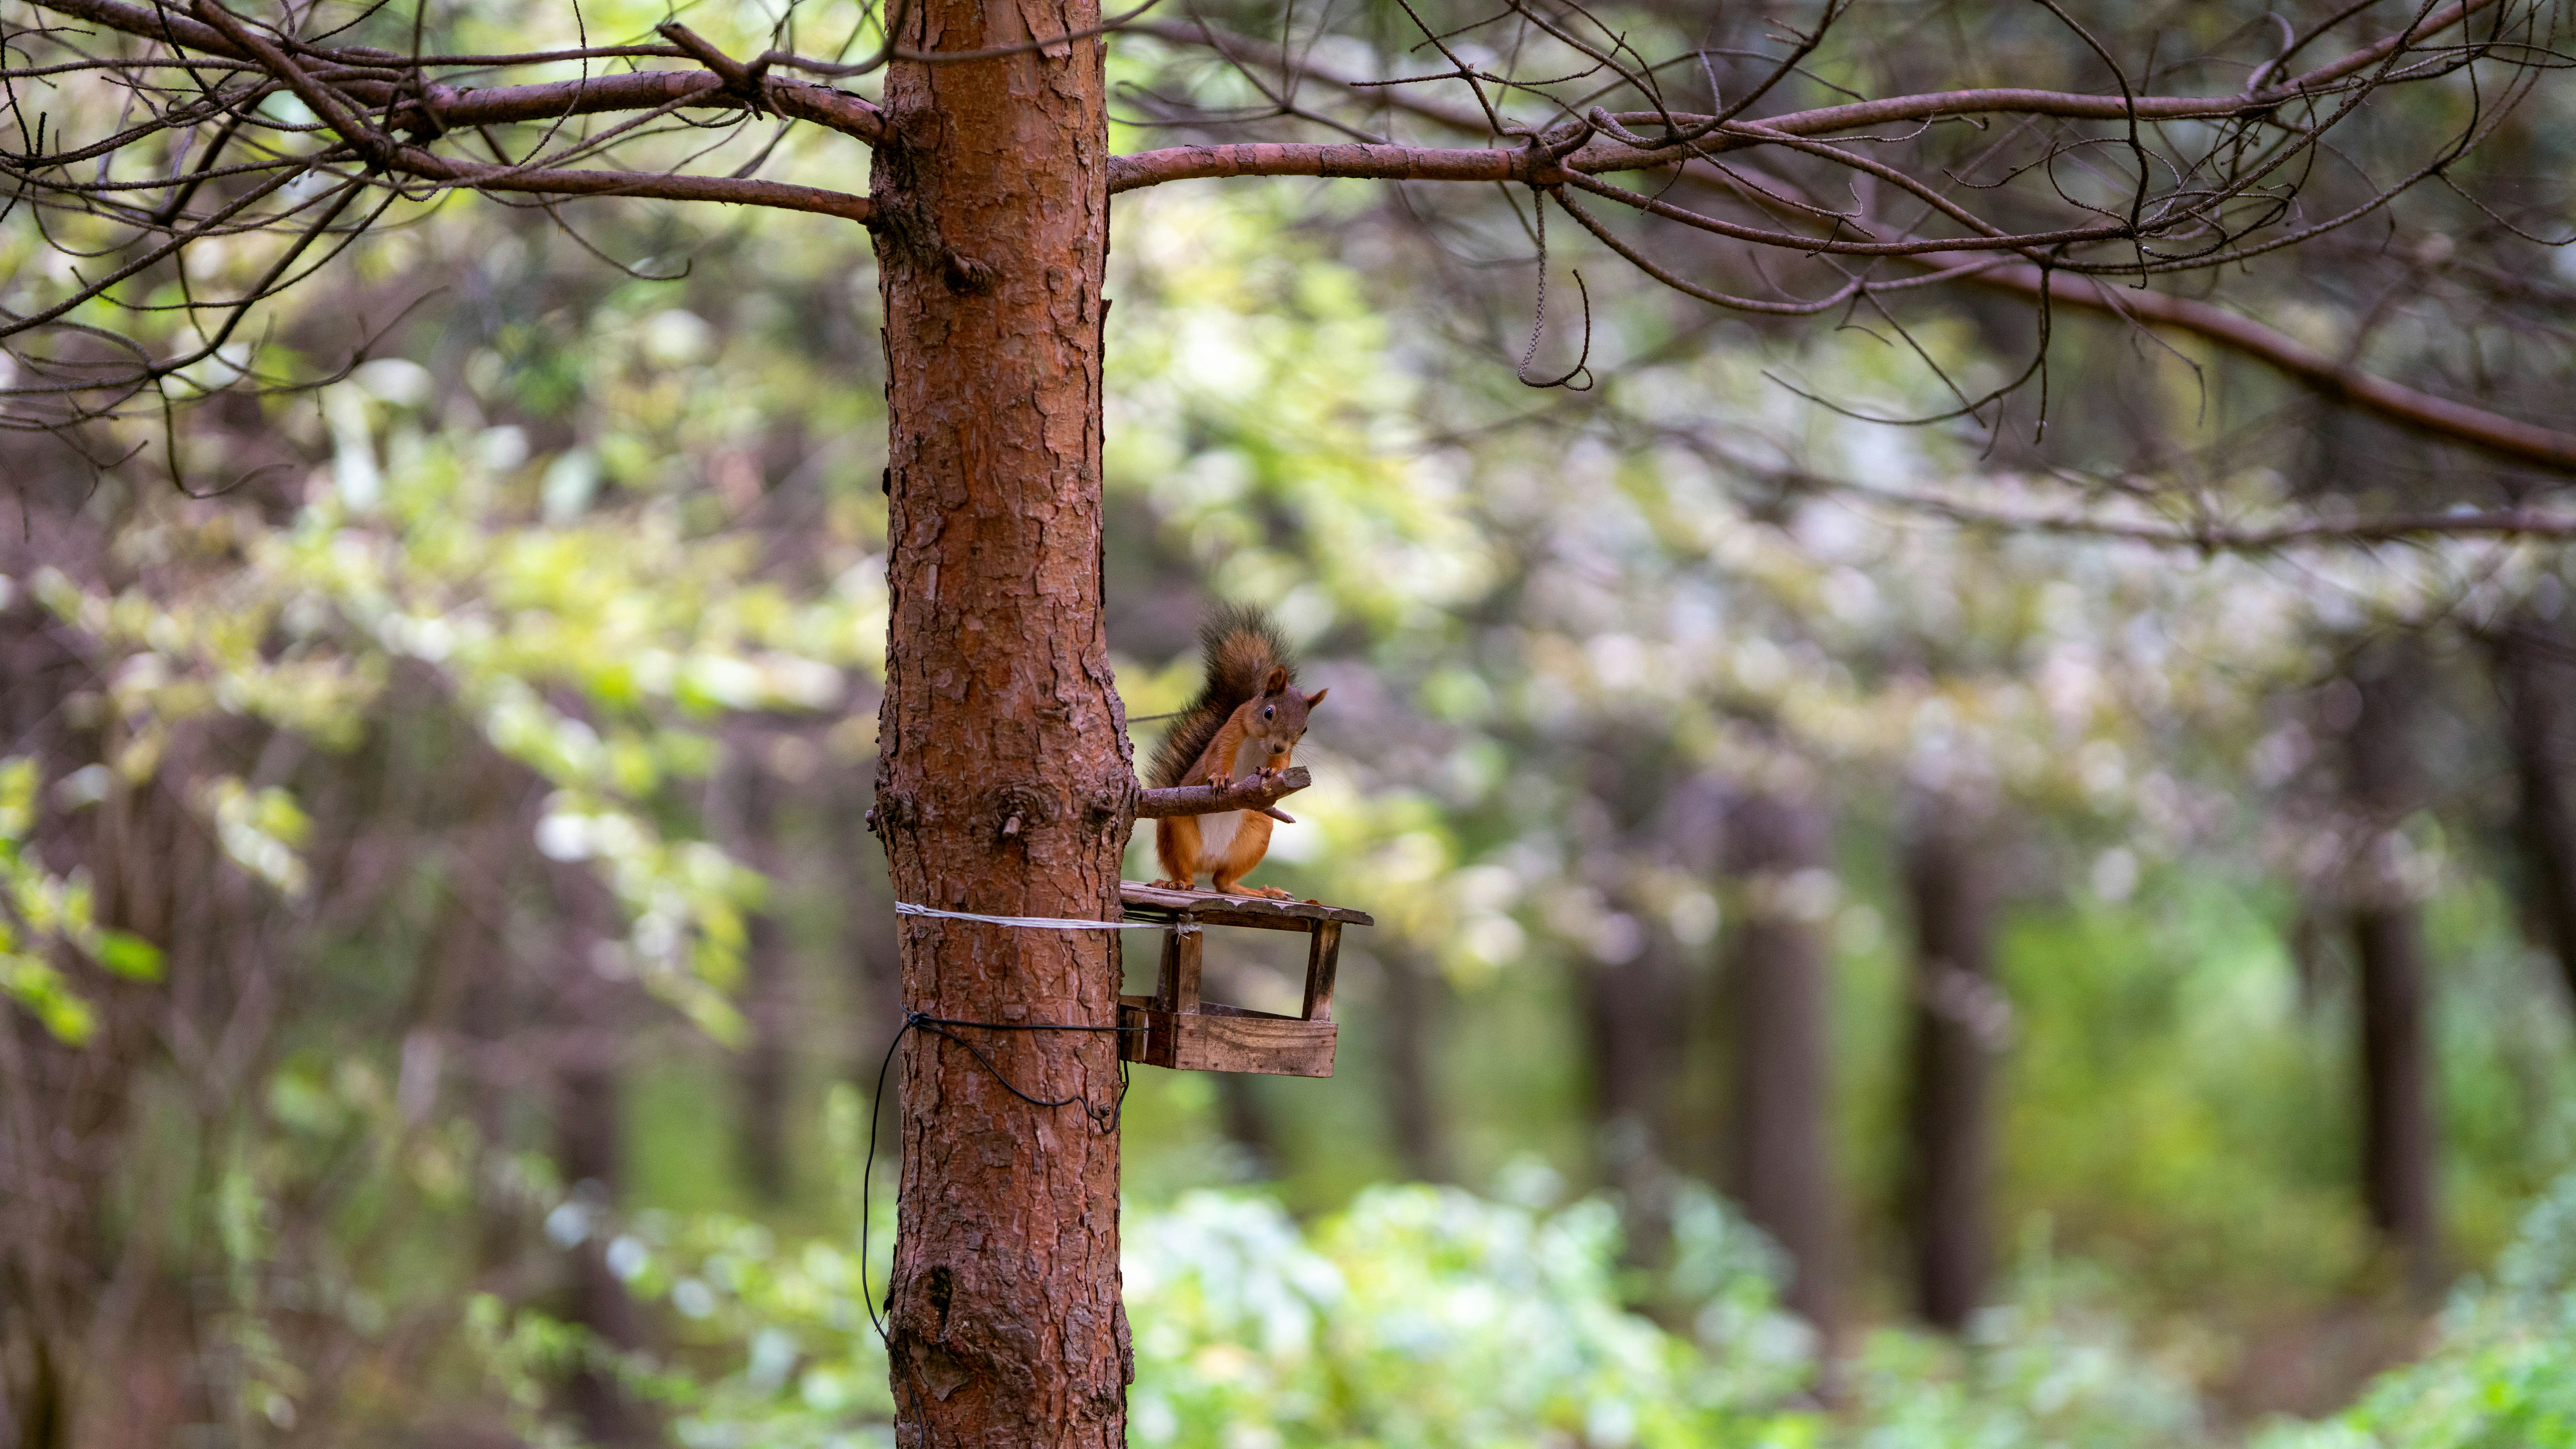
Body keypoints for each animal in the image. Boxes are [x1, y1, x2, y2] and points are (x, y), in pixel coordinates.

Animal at [1147, 605, 1327, 898]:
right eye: (1269, 713)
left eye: (1305, 729)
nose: (1279, 745)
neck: (1259, 742)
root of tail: (1207, 860)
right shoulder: (1230, 732)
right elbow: (1217, 758)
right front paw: (1221, 778)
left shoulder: (1284, 754)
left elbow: (1281, 765)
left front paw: (1273, 772)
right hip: (1177, 829)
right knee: (1184, 870)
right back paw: (1176, 882)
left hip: (1255, 837)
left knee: (1224, 882)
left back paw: (1262, 892)